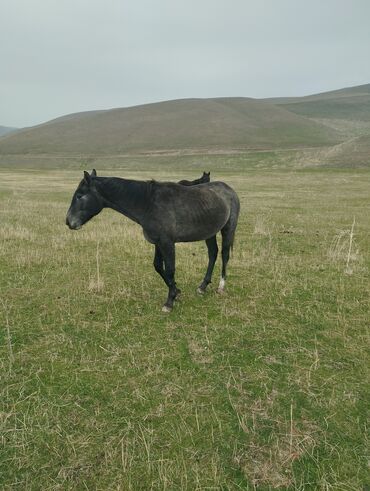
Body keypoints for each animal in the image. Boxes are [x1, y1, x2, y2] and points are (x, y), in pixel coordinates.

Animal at [66, 171, 240, 314]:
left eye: (79, 196)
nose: (68, 222)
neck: (148, 203)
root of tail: (229, 189)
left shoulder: (167, 243)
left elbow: (169, 270)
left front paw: (169, 302)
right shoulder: (158, 242)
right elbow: (158, 267)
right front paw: (176, 291)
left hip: (228, 228)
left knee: (224, 254)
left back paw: (221, 286)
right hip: (210, 232)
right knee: (213, 253)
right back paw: (203, 287)